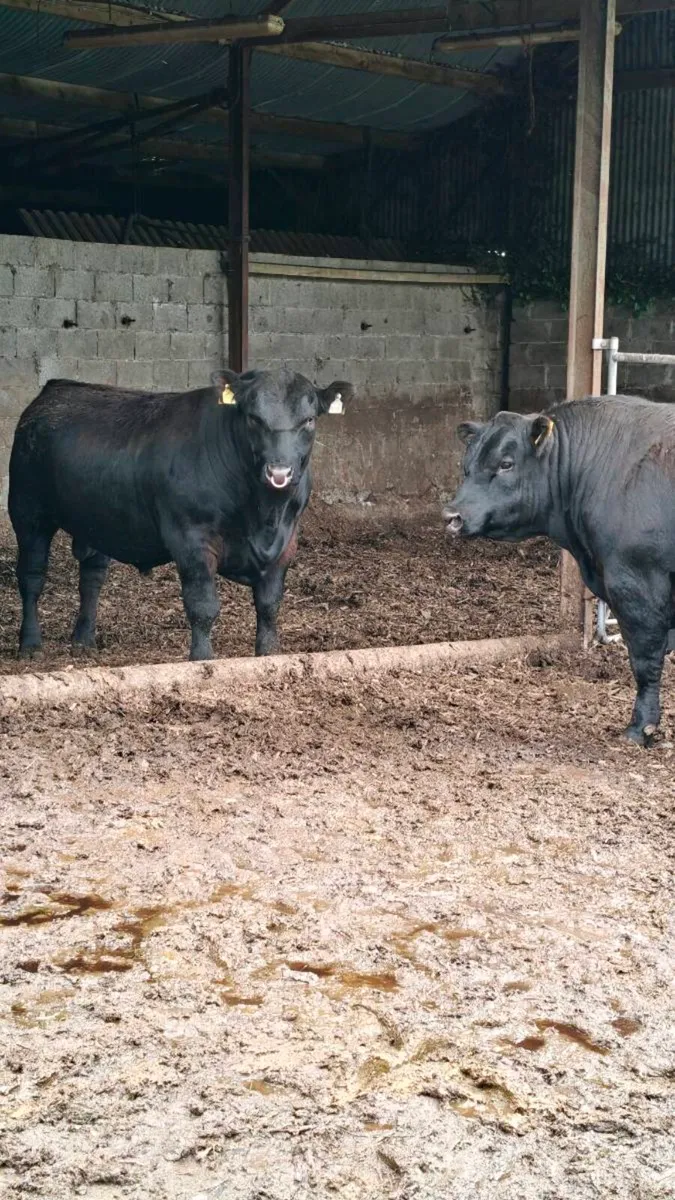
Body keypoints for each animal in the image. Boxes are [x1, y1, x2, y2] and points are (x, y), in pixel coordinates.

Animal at [9, 367, 352, 662]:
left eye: (309, 420)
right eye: (254, 418)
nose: (279, 471)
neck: (263, 514)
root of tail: (56, 388)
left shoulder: (287, 541)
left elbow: (269, 605)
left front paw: (268, 654)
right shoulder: (191, 539)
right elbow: (203, 605)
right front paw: (201, 658)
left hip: (95, 520)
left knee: (91, 576)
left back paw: (83, 640)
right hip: (28, 512)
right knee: (32, 577)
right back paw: (30, 644)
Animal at [444, 394, 675, 746]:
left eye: (506, 463)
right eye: (466, 467)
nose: (452, 516)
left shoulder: (636, 583)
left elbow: (645, 658)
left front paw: (641, 728)